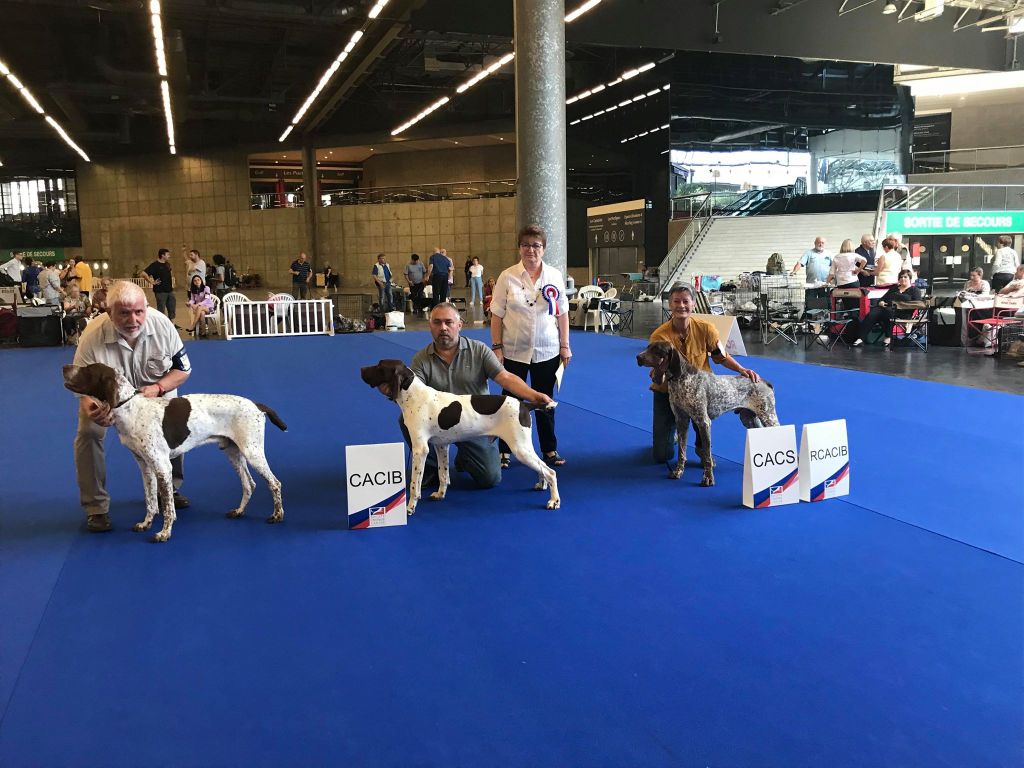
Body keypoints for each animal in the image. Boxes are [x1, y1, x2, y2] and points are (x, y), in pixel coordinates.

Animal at [62, 364, 288, 544]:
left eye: (88, 370)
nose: (64, 367)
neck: (130, 408)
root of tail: (256, 405)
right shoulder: (145, 467)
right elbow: (151, 501)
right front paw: (146, 523)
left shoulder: (163, 467)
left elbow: (168, 507)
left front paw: (164, 533)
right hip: (233, 452)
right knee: (249, 484)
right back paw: (239, 511)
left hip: (252, 452)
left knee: (274, 483)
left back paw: (277, 515)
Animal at [360, 360, 561, 518]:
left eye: (379, 366)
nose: (361, 369)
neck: (414, 396)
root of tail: (525, 405)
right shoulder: (441, 446)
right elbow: (443, 474)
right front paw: (440, 494)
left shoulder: (420, 449)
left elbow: (413, 485)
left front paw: (410, 508)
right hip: (524, 447)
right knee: (542, 467)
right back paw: (541, 485)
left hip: (520, 449)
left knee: (550, 471)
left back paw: (554, 501)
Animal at [634, 342, 778, 487]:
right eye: (648, 347)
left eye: (657, 349)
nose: (638, 357)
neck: (681, 379)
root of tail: (764, 382)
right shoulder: (681, 420)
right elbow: (681, 451)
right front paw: (678, 471)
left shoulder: (703, 422)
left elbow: (707, 456)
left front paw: (708, 478)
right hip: (748, 418)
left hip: (768, 417)